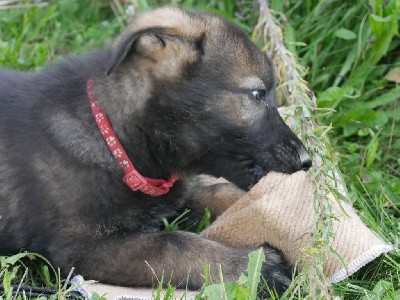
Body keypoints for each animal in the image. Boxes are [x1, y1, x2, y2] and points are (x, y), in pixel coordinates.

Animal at [0, 7, 312, 296]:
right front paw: (254, 267)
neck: (114, 139)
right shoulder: (82, 249)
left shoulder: (164, 194)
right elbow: (173, 244)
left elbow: (214, 193)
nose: (307, 161)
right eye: (257, 94)